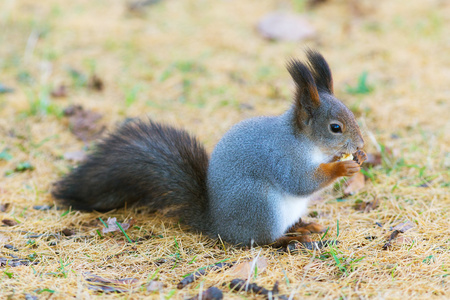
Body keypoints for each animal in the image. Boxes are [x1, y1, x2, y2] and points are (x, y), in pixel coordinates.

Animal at [52, 49, 368, 246]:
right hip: (259, 205)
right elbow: (301, 182)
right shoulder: (281, 158)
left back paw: (304, 226)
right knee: (260, 241)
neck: (304, 142)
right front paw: (342, 166)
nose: (361, 143)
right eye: (335, 127)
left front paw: (359, 157)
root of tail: (216, 224)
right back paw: (289, 238)